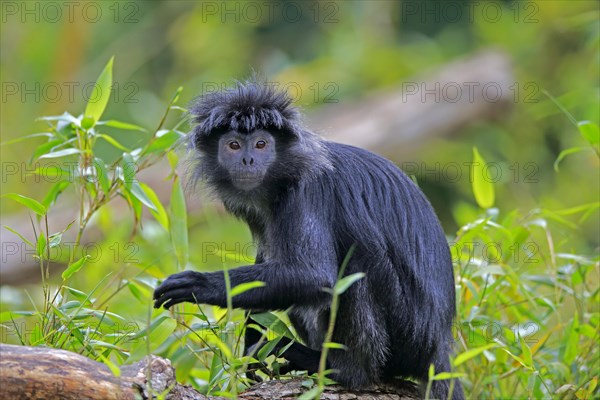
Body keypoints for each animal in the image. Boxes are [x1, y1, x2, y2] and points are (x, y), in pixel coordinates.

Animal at [155, 79, 464, 398]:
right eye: (233, 145)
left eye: (261, 144)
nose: (247, 159)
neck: (283, 177)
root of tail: (439, 346)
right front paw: (252, 343)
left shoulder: (308, 189)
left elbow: (315, 276)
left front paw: (200, 285)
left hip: (409, 334)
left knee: (355, 264)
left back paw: (341, 368)